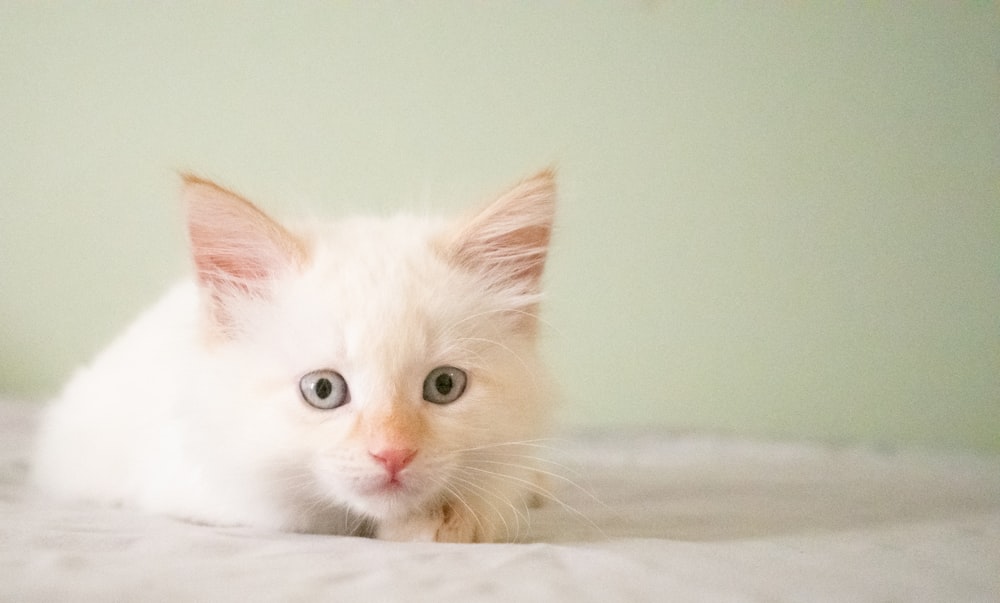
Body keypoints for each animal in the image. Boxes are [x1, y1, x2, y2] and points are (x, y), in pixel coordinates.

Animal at [33, 172, 564, 544]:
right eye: (323, 390)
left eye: (444, 385)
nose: (392, 453)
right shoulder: (200, 481)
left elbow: (498, 485)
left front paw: (455, 515)